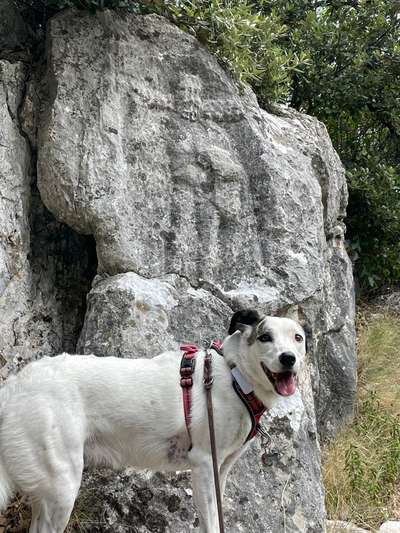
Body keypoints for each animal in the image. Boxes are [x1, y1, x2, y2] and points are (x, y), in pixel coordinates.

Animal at [0, 310, 306, 532]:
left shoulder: (222, 468)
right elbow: (211, 522)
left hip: (47, 491)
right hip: (63, 487)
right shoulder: (204, 464)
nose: (288, 358)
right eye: (265, 337)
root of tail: (14, 386)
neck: (235, 375)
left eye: (298, 338)